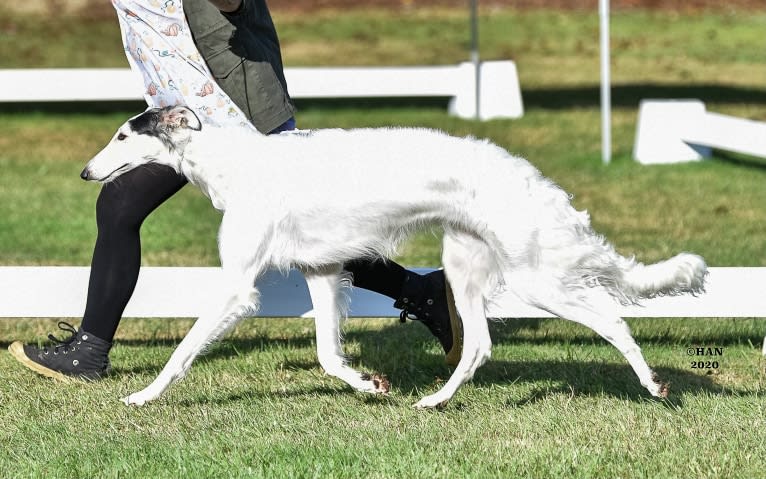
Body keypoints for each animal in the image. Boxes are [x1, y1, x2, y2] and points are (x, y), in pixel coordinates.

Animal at [81, 106, 712, 408]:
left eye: (122, 136)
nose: (87, 173)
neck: (234, 162)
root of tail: (528, 176)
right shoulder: (322, 270)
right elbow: (329, 356)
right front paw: (370, 385)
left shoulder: (239, 283)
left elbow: (182, 353)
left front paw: (142, 396)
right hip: (465, 267)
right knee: (478, 345)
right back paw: (434, 401)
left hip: (537, 279)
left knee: (612, 317)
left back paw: (654, 385)